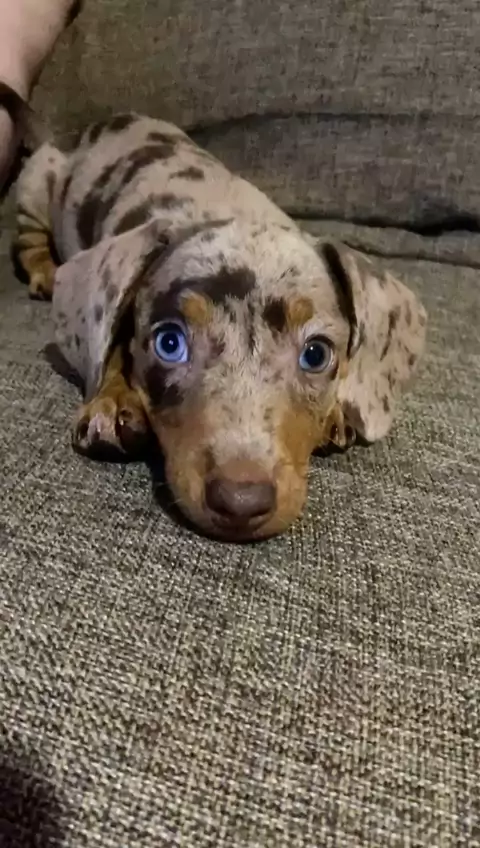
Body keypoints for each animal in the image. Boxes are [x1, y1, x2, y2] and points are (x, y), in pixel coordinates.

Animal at [14, 112, 427, 540]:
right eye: (170, 343)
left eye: (316, 353)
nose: (241, 502)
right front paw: (111, 402)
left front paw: (337, 410)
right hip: (36, 186)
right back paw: (44, 273)